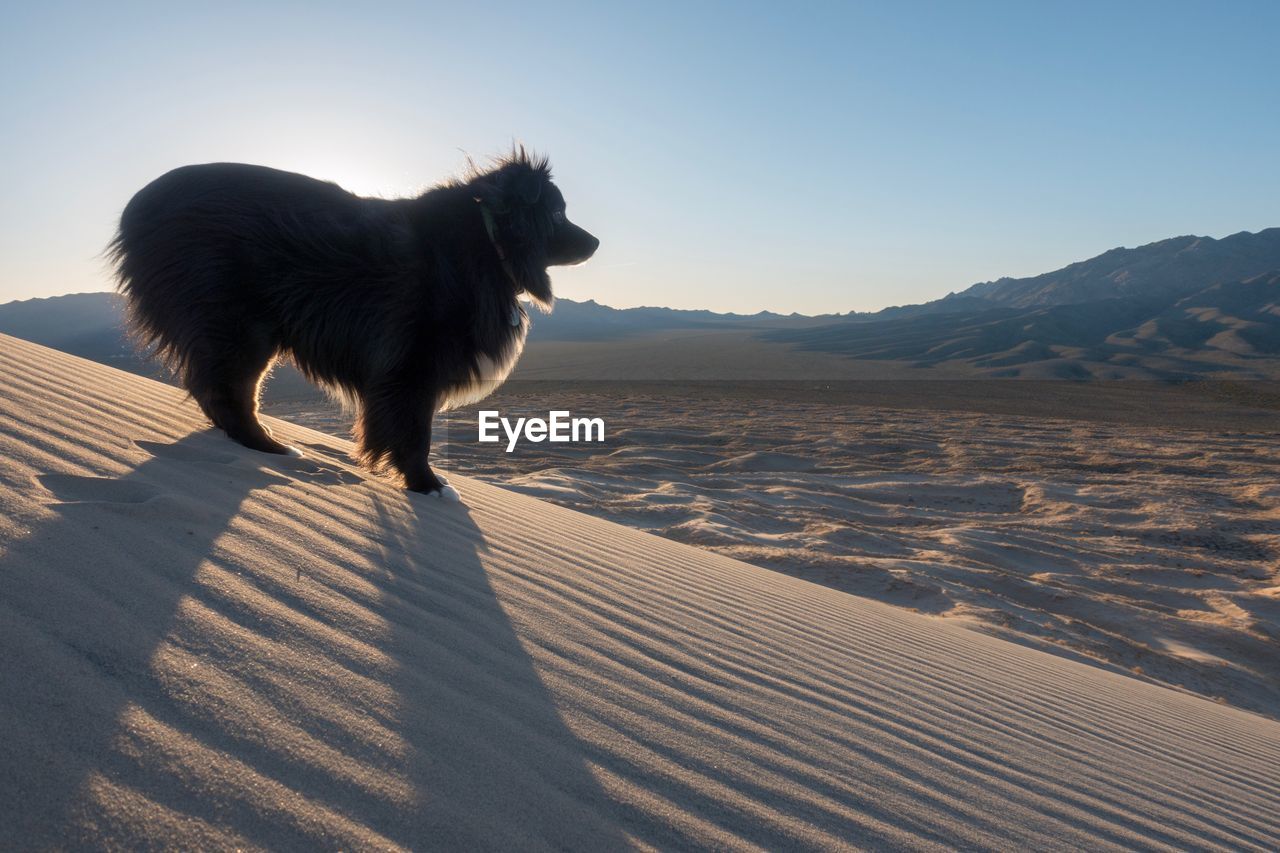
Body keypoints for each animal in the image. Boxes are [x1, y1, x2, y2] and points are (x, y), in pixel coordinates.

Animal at [107, 151, 596, 499]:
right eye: (557, 214)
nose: (594, 242)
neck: (489, 240)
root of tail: (137, 207)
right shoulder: (412, 367)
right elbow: (415, 435)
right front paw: (427, 485)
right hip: (243, 327)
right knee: (227, 393)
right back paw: (268, 445)